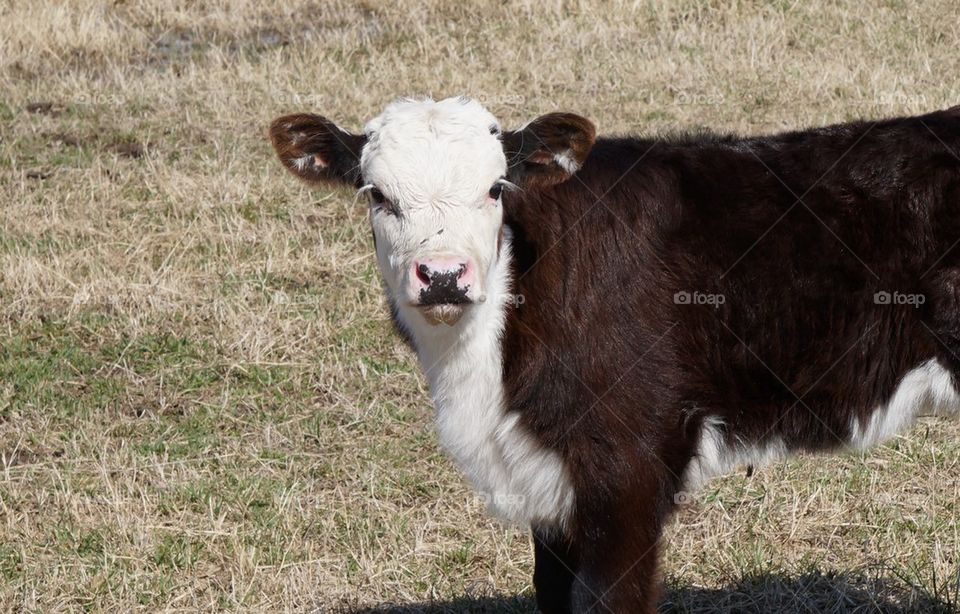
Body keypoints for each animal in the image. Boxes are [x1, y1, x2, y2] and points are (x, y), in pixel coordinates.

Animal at [269, 96, 960, 613]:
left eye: (494, 189)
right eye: (375, 194)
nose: (442, 276)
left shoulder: (629, 464)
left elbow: (604, 602)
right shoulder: (549, 480)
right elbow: (552, 594)